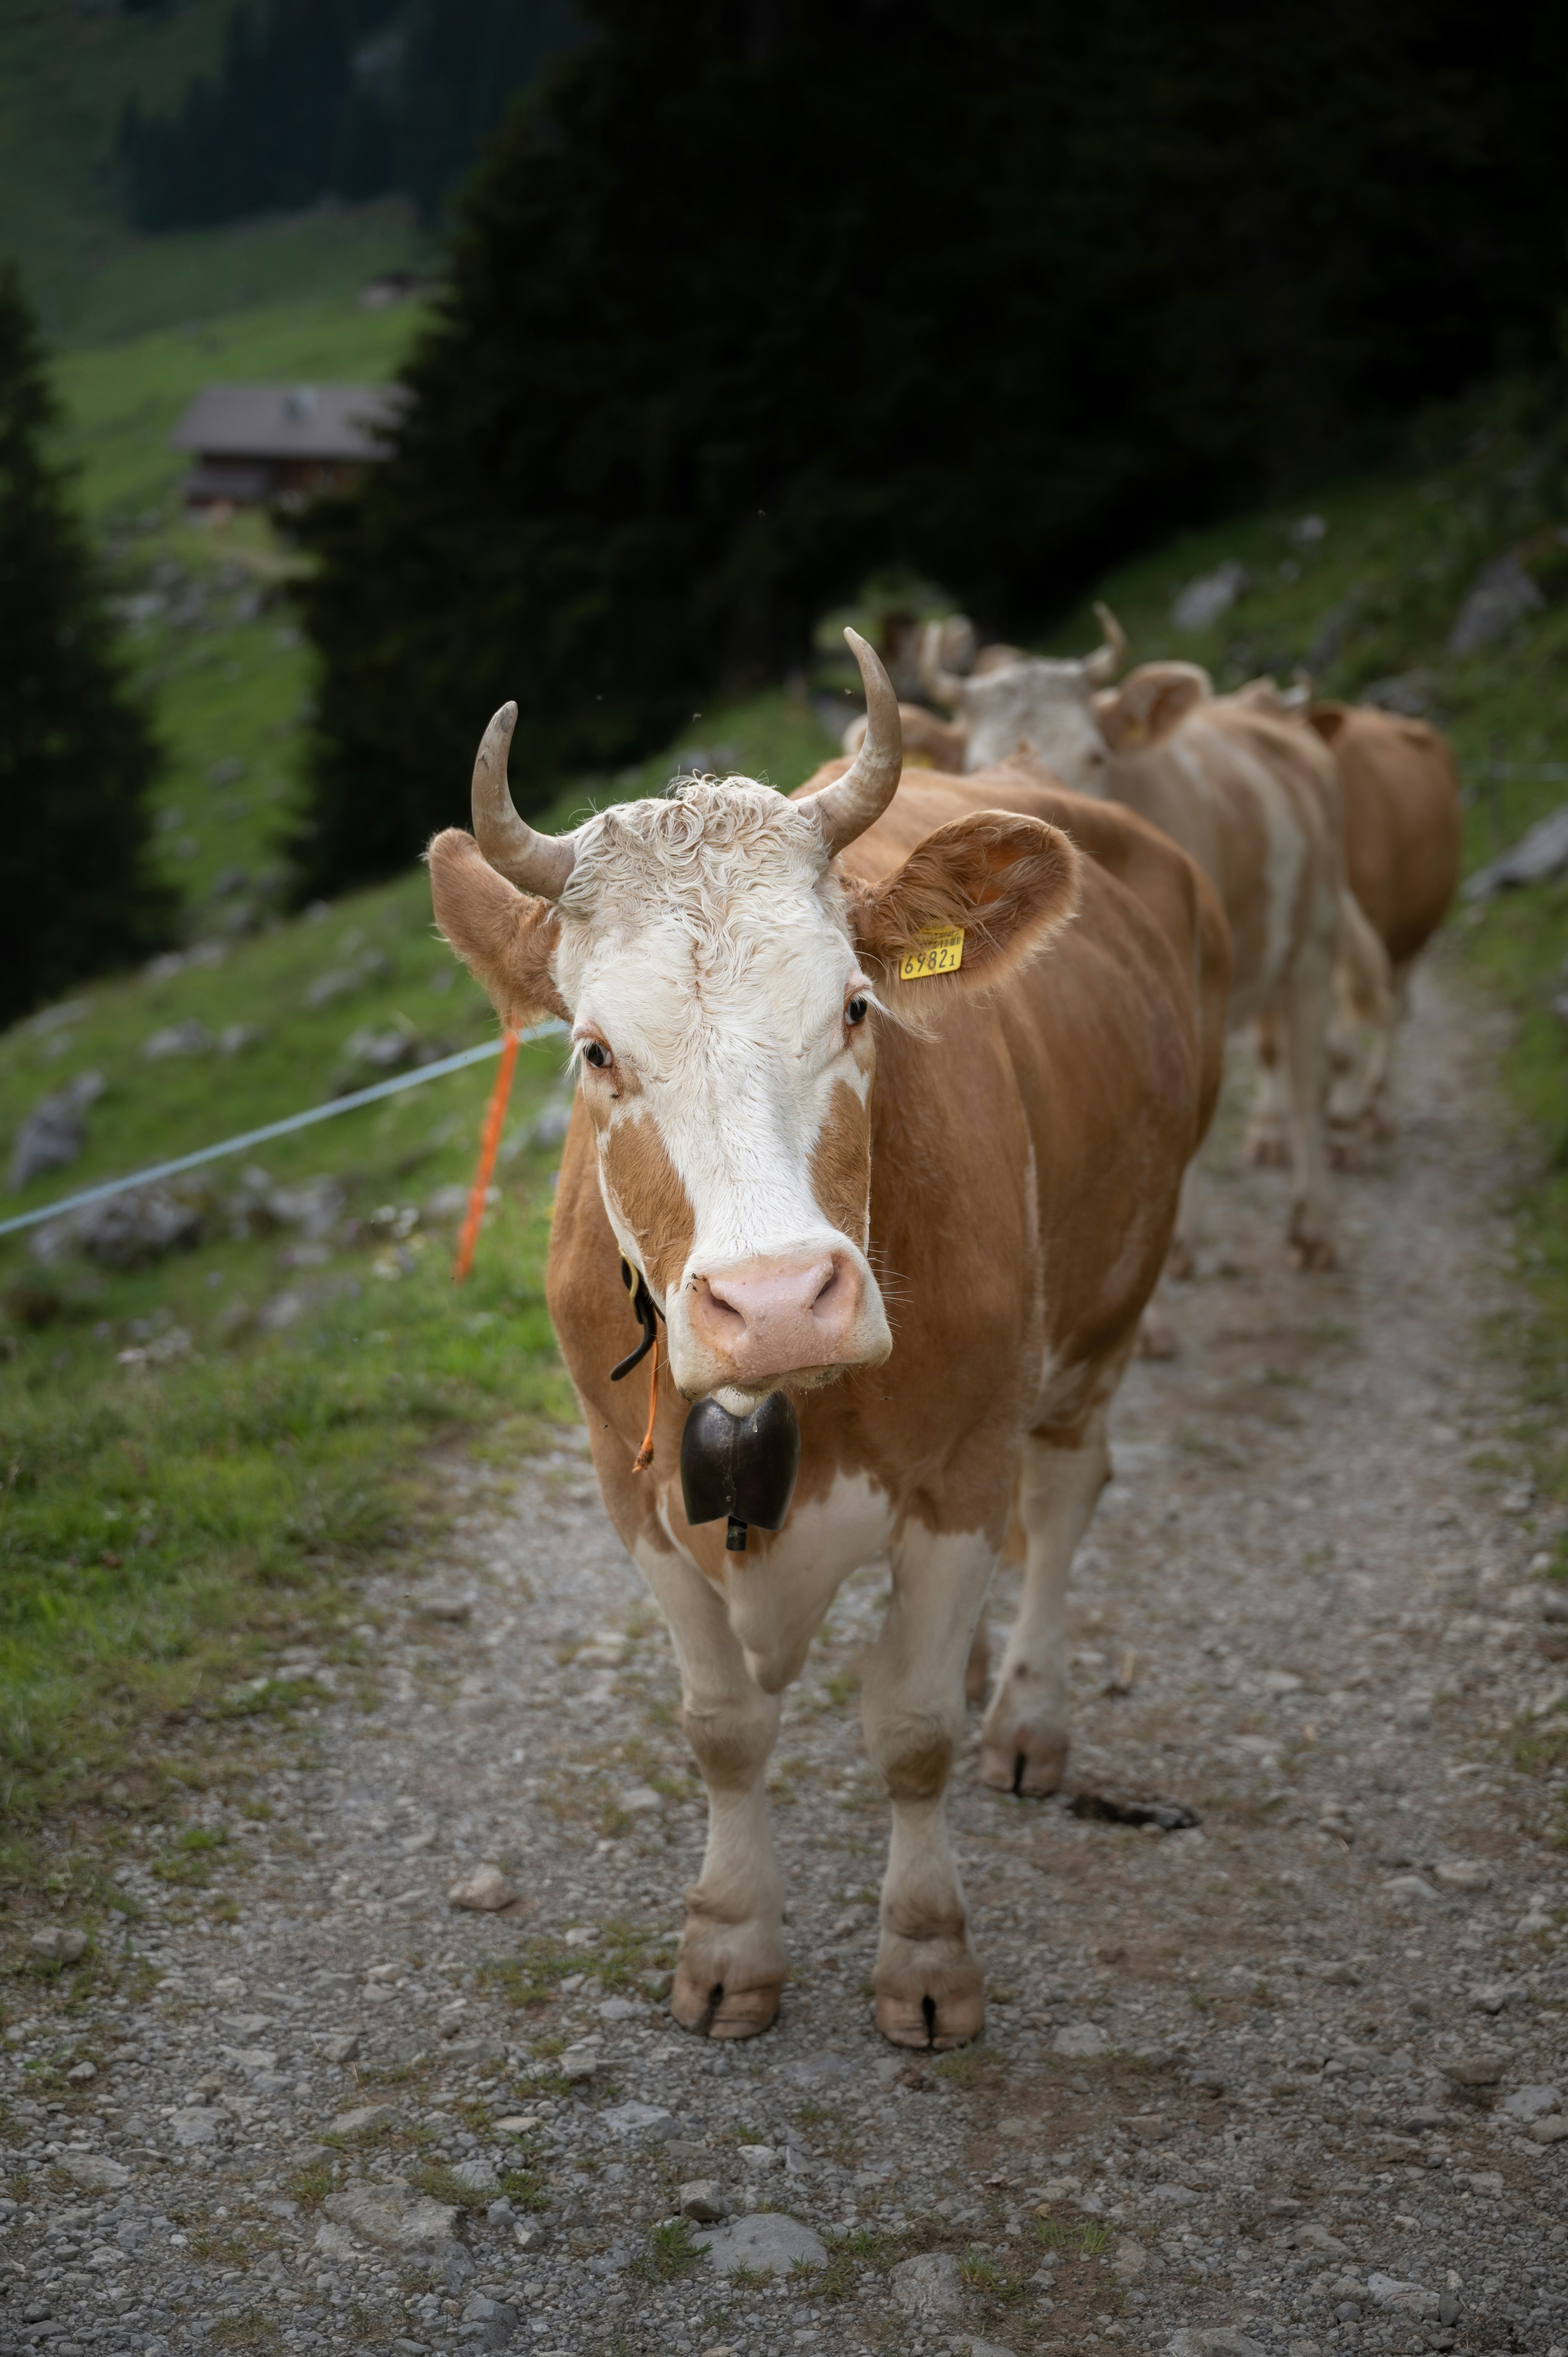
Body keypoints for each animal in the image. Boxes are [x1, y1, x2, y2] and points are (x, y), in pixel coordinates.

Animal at [919, 617, 1386, 1263]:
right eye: (973, 764)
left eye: (1096, 754)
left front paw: (1184, 1238)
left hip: (1312, 942)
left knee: (1305, 1077)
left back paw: (1314, 1220)